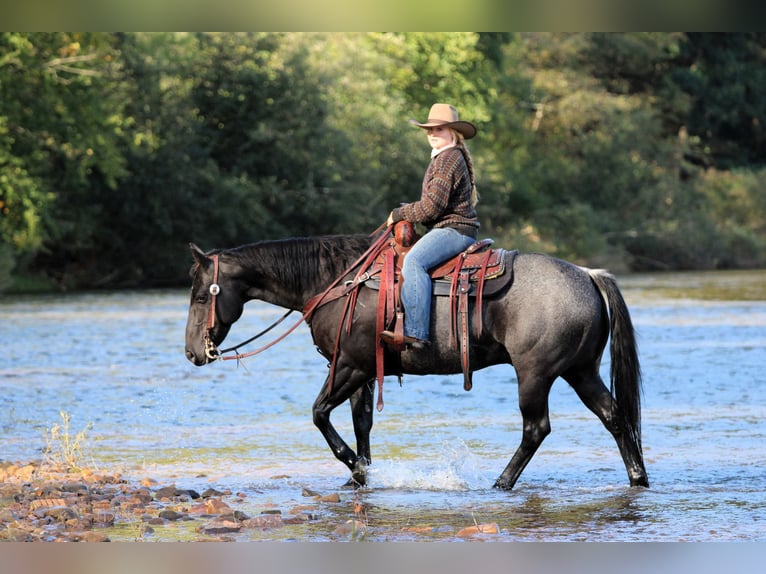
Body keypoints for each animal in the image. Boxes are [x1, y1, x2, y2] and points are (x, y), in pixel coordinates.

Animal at [184, 232, 649, 490]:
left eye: (201, 294)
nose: (192, 352)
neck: (335, 281)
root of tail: (587, 275)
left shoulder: (349, 366)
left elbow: (319, 414)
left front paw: (355, 466)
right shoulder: (364, 371)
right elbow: (361, 421)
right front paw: (359, 475)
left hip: (535, 375)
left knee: (536, 429)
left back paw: (500, 483)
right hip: (580, 370)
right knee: (614, 416)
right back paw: (638, 478)